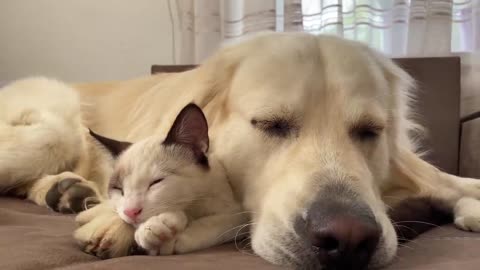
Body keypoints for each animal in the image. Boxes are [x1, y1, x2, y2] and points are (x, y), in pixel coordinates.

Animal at [91, 103, 248, 255]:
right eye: (119, 189)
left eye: (156, 182)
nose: (130, 212)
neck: (193, 207)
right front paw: (152, 231)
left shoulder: (238, 213)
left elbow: (215, 222)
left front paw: (171, 235)